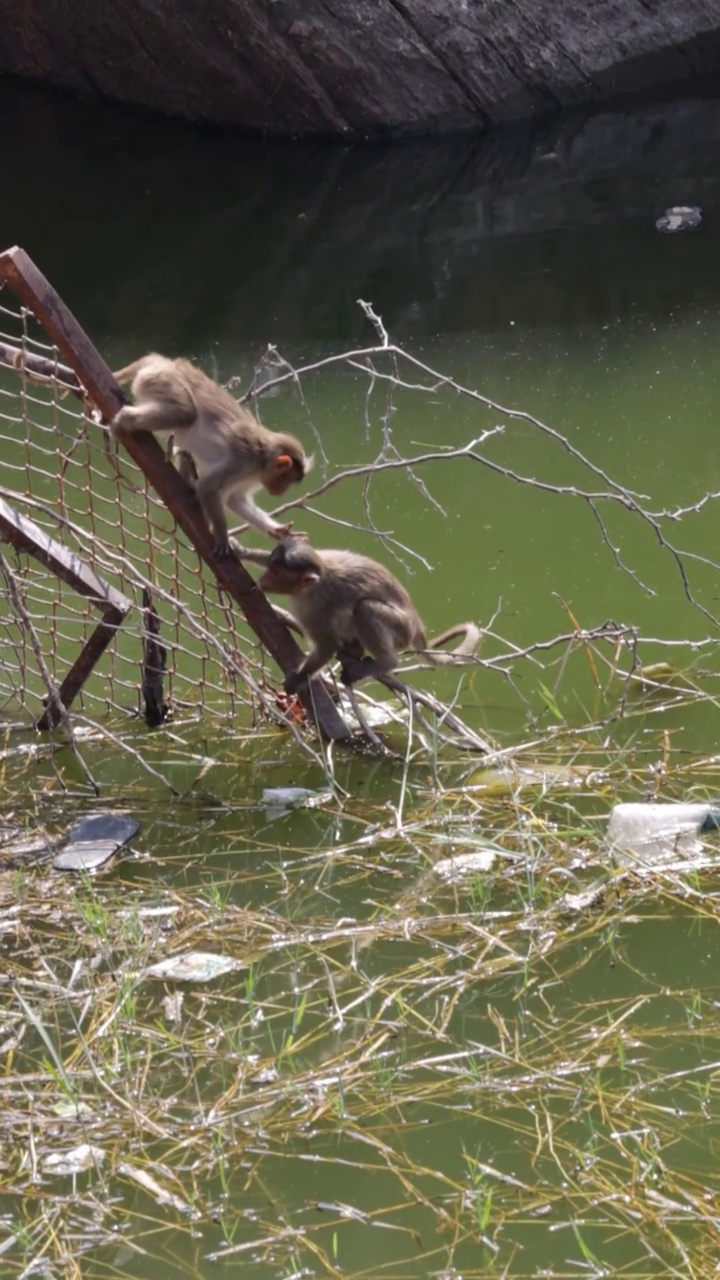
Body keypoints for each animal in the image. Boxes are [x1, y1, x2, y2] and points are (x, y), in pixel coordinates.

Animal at [110, 353, 308, 552]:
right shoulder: (243, 463)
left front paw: (277, 530)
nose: (281, 492)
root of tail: (167, 363)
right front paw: (221, 534)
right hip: (164, 382)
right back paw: (124, 419)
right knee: (185, 414)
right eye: (287, 481)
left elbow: (234, 499)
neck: (262, 460)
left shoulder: (251, 475)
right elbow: (207, 487)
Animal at [238, 532, 479, 691]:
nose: (264, 578)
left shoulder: (316, 608)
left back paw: (384, 663)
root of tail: (417, 625)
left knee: (365, 609)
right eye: (271, 565)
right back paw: (353, 651)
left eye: (276, 572)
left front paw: (300, 677)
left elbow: (326, 645)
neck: (313, 583)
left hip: (400, 631)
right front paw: (239, 549)